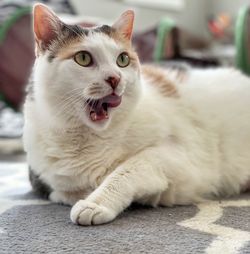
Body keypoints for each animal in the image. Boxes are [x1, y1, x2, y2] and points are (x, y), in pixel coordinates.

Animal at [23, 3, 250, 226]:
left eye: (122, 59)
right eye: (83, 58)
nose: (115, 78)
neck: (87, 141)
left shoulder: (180, 157)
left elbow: (127, 169)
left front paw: (94, 203)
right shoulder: (44, 179)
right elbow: (62, 192)